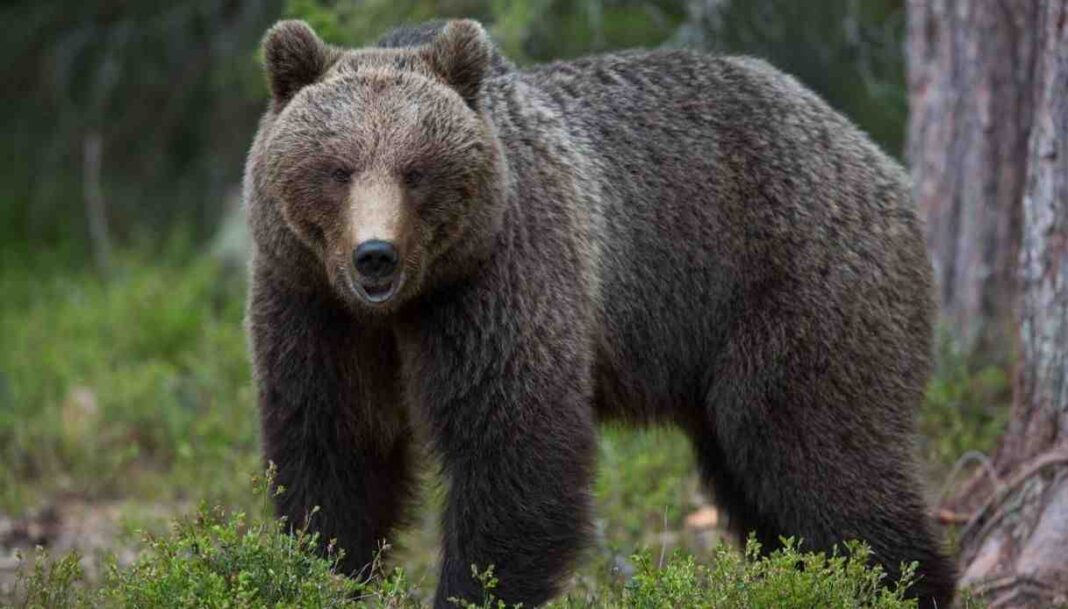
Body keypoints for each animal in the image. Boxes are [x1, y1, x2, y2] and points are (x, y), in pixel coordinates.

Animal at [244, 18, 957, 609]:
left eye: (416, 170)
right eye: (338, 169)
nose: (375, 256)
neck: (406, 306)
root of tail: (877, 159)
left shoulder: (501, 278)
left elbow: (515, 449)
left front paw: (470, 589)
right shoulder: (313, 304)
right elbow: (334, 450)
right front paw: (328, 570)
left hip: (796, 283)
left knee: (818, 447)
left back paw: (901, 580)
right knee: (757, 481)